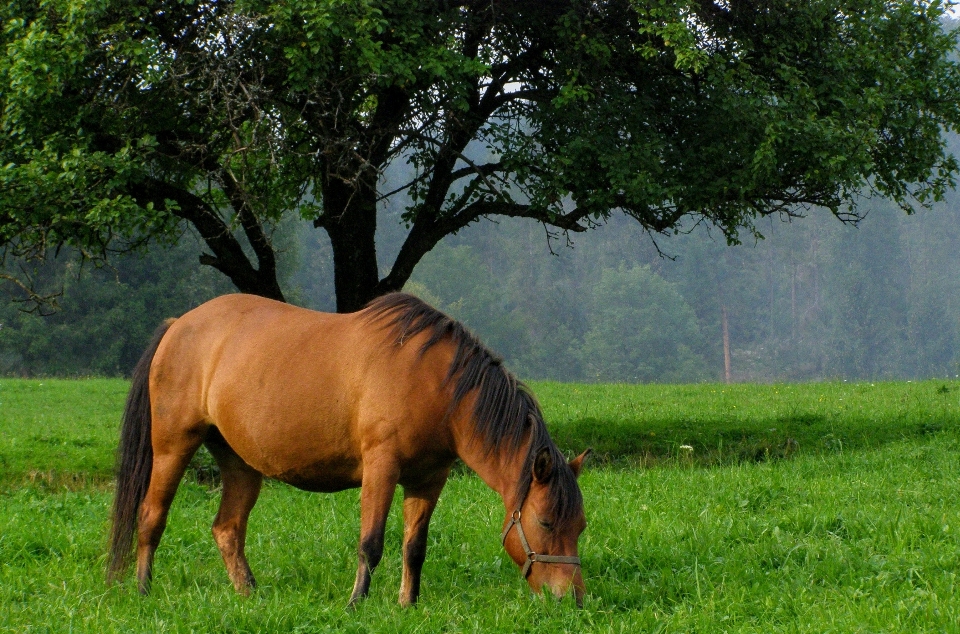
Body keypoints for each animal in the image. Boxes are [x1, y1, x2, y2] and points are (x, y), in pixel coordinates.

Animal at [103, 294, 584, 604]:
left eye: (580, 526)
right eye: (545, 521)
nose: (572, 599)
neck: (438, 385)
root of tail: (178, 325)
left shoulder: (429, 479)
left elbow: (415, 546)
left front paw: (407, 604)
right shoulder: (381, 467)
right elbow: (370, 543)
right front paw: (357, 603)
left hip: (240, 463)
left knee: (227, 530)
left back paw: (250, 596)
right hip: (172, 446)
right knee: (151, 517)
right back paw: (144, 592)